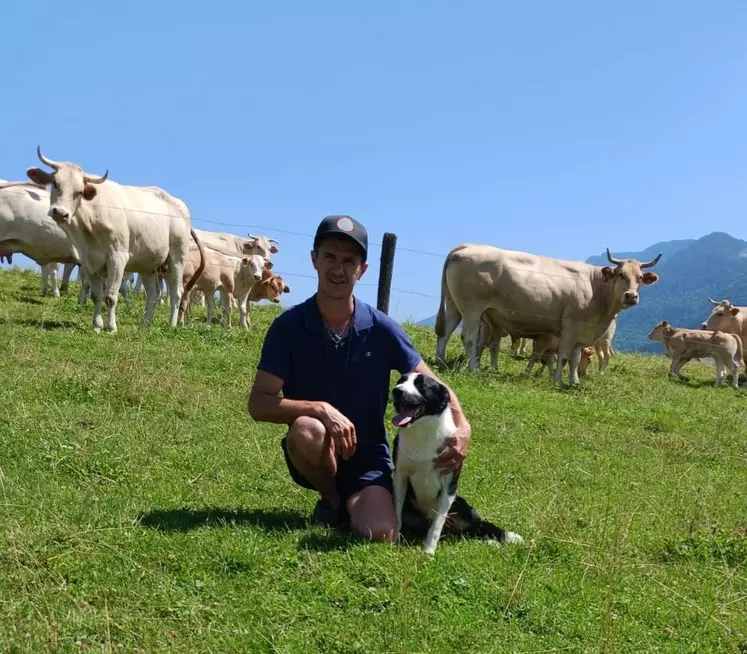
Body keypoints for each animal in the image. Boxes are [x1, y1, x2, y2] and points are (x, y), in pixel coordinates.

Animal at [27, 147, 205, 334]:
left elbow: (111, 296)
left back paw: (172, 324)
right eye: (55, 183)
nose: (60, 213)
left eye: (79, 192)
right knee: (153, 295)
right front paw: (97, 325)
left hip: (177, 256)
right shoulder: (88, 260)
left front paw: (111, 327)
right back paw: (144, 325)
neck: (90, 222)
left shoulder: (117, 258)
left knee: (176, 292)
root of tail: (178, 204)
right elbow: (96, 295)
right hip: (148, 265)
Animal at [392, 372, 524, 556]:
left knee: (478, 526)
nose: (396, 391)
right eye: (401, 381)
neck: (422, 431)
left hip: (462, 506)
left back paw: (498, 540)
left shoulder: (449, 485)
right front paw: (394, 538)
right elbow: (396, 511)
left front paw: (429, 551)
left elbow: (437, 525)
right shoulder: (400, 476)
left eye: (421, 385)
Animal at [436, 245, 664, 384]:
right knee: (469, 338)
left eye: (640, 278)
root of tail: (466, 246)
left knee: (445, 332)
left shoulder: (581, 331)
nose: (631, 296)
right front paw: (557, 380)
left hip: (454, 305)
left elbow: (575, 358)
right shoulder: (570, 325)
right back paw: (474, 369)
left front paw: (574, 381)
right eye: (620, 274)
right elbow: (563, 356)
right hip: (472, 308)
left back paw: (439, 362)